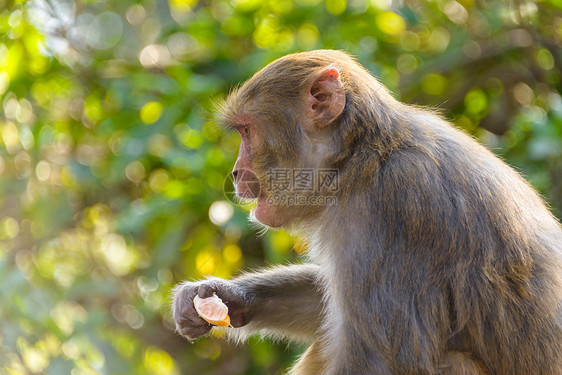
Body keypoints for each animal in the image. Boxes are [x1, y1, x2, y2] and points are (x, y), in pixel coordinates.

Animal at [172, 50, 560, 375]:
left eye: (246, 130)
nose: (236, 173)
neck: (361, 161)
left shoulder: (394, 207)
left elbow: (381, 362)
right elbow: (326, 305)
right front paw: (222, 297)